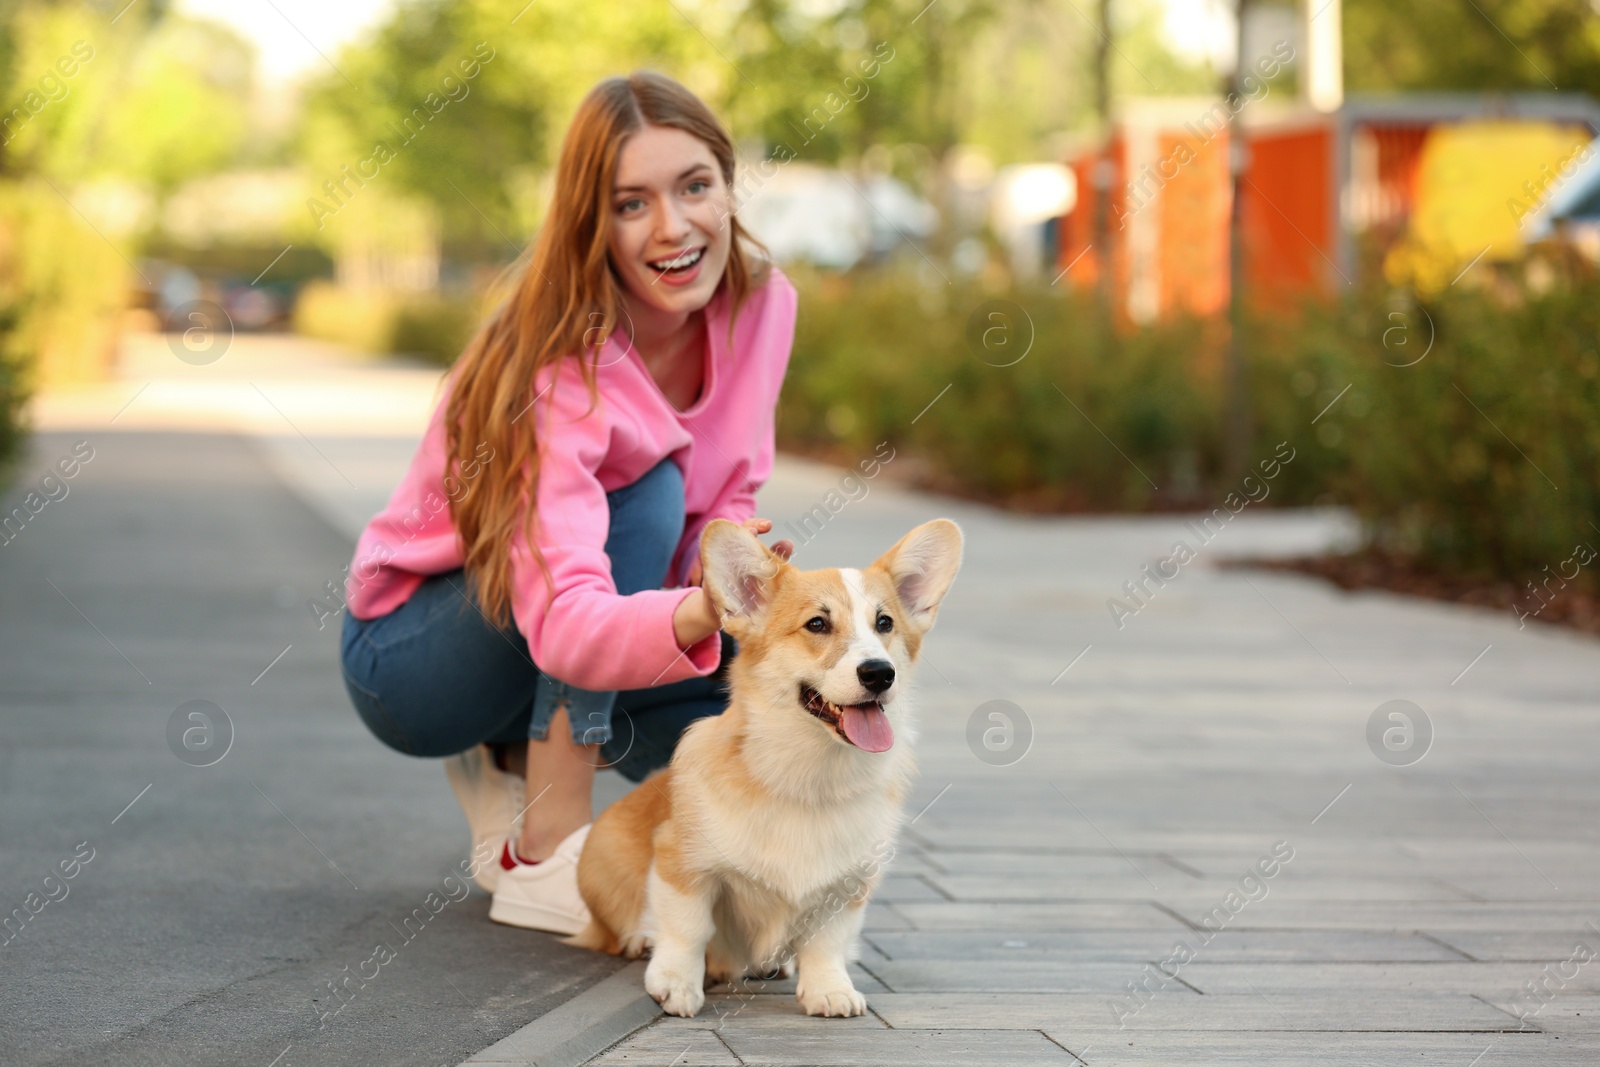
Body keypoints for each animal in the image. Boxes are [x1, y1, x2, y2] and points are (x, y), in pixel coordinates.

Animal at [563, 518, 960, 1017]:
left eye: (884, 623)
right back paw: (640, 940)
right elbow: (687, 927)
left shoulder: (849, 884)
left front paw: (829, 989)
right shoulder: (683, 863)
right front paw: (676, 982)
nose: (879, 673)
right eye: (817, 624)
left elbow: (827, 942)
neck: (810, 774)